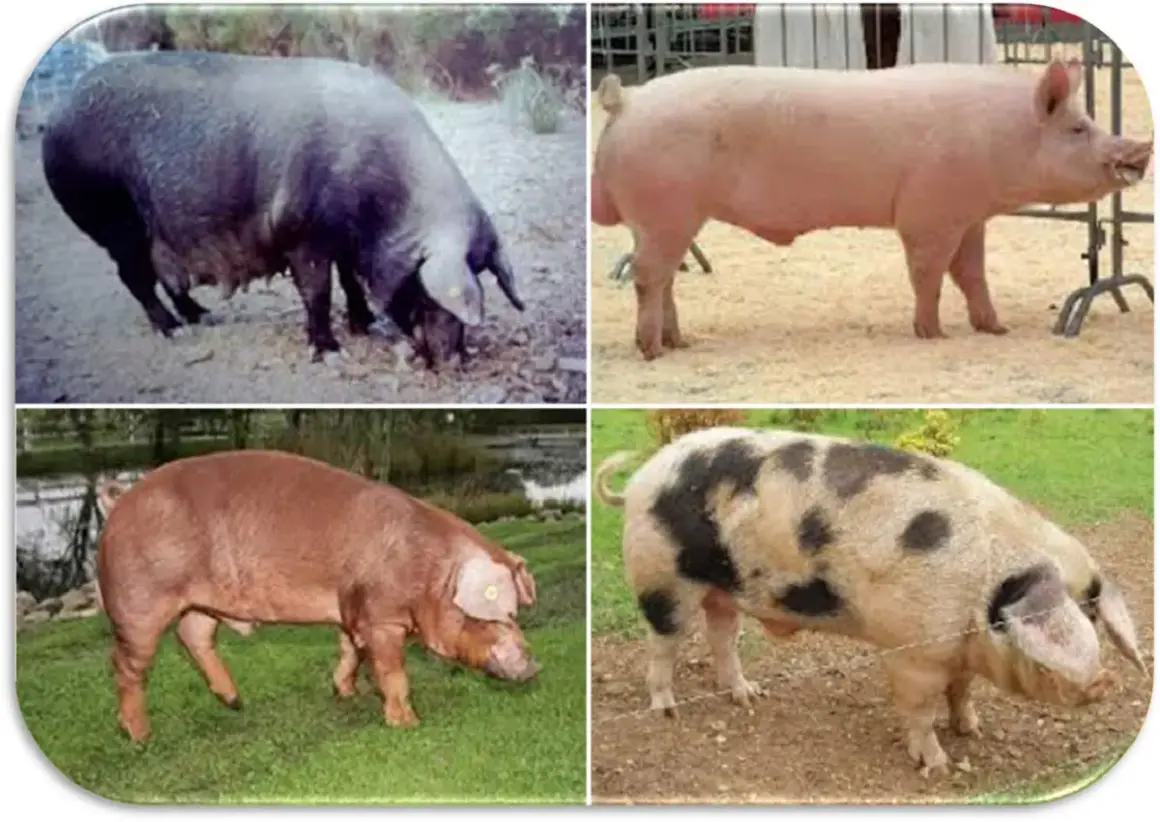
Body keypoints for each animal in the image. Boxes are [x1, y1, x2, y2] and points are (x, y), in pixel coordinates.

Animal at [41, 50, 525, 368]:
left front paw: (366, 325)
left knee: (166, 274)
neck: (384, 209)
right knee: (135, 276)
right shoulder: (302, 233)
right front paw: (331, 352)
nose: (456, 362)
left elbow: (349, 281)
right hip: (112, 216)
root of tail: (57, 114)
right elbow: (318, 292)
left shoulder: (342, 240)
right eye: (433, 293)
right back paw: (174, 330)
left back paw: (202, 315)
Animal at [94, 449, 540, 742]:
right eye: (496, 615)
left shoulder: (351, 610)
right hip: (137, 601)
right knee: (125, 664)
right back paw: (140, 735)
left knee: (193, 637)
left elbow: (349, 651)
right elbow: (392, 671)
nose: (533, 665)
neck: (427, 572)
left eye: (517, 613)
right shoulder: (379, 616)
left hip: (200, 602)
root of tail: (120, 498)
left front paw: (345, 693)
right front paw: (408, 723)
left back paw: (236, 702)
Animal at [590, 59, 1153, 360]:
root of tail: (628, 102)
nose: (1140, 152)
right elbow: (928, 272)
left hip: (664, 220)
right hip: (667, 212)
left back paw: (680, 342)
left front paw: (996, 329)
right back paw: (653, 350)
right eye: (1078, 128)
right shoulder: (929, 212)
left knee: (664, 278)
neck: (1003, 137)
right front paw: (932, 334)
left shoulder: (971, 215)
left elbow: (972, 273)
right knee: (649, 276)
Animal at [594, 427, 1147, 777]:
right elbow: (920, 711)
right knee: (663, 645)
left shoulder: (955, 651)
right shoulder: (913, 652)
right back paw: (667, 712)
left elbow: (962, 691)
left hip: (722, 588)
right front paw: (938, 765)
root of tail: (640, 480)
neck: (979, 595)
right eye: (1054, 615)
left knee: (723, 635)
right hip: (662, 578)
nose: (1103, 680)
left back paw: (749, 696)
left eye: (1091, 612)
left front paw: (971, 730)